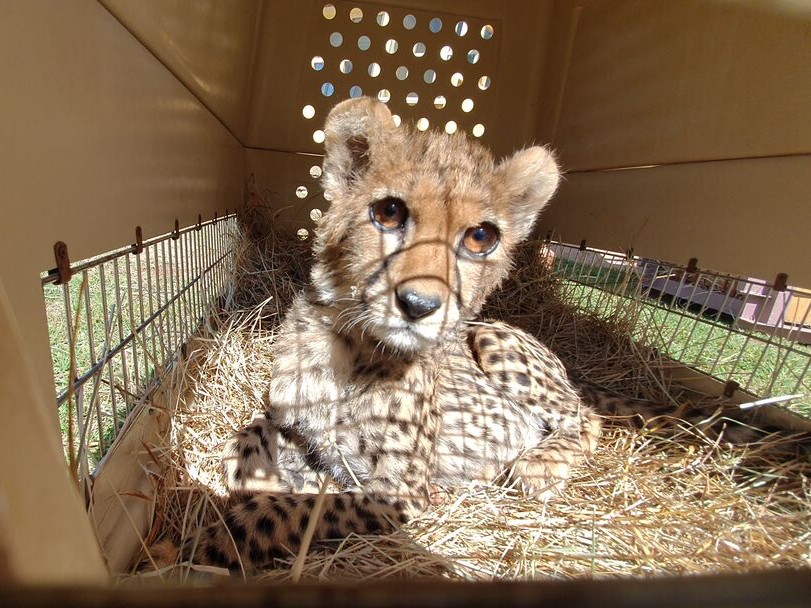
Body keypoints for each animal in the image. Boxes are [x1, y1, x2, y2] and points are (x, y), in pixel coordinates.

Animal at [165, 97, 669, 573]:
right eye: (389, 212)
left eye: (480, 237)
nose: (419, 305)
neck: (350, 349)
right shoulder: (290, 420)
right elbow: (248, 435)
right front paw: (266, 475)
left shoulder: (398, 491)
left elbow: (287, 512)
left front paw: (211, 539)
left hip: (493, 336)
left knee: (585, 415)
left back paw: (538, 465)